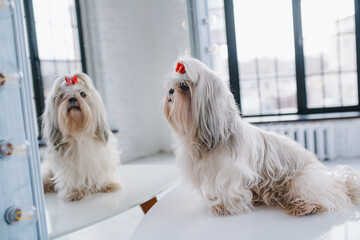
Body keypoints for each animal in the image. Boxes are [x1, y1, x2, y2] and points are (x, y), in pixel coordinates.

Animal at [41, 72, 121, 201]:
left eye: (82, 94)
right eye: (62, 95)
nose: (72, 98)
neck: (79, 134)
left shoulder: (102, 158)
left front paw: (108, 184)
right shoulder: (69, 167)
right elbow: (73, 178)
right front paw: (76, 192)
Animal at [165, 57, 360, 217]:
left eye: (184, 86)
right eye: (171, 84)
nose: (170, 91)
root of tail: (337, 180)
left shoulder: (231, 170)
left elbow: (229, 188)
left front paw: (225, 206)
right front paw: (215, 197)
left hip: (303, 179)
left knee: (330, 197)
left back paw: (306, 206)